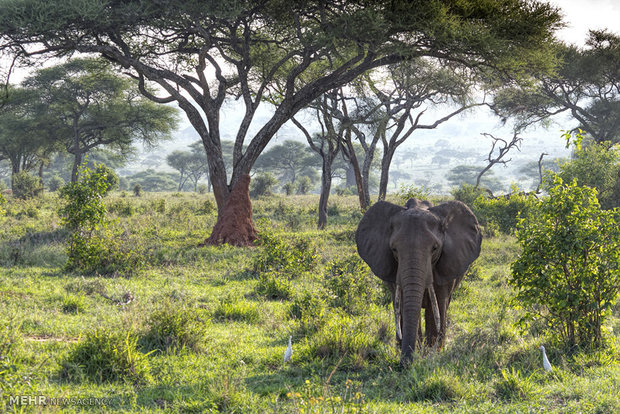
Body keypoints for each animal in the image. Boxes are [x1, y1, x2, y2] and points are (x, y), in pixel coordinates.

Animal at [356, 197, 482, 362]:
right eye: (394, 249)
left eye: (435, 248)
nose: (404, 364)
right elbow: (404, 305)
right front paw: (419, 353)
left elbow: (437, 307)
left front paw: (432, 355)